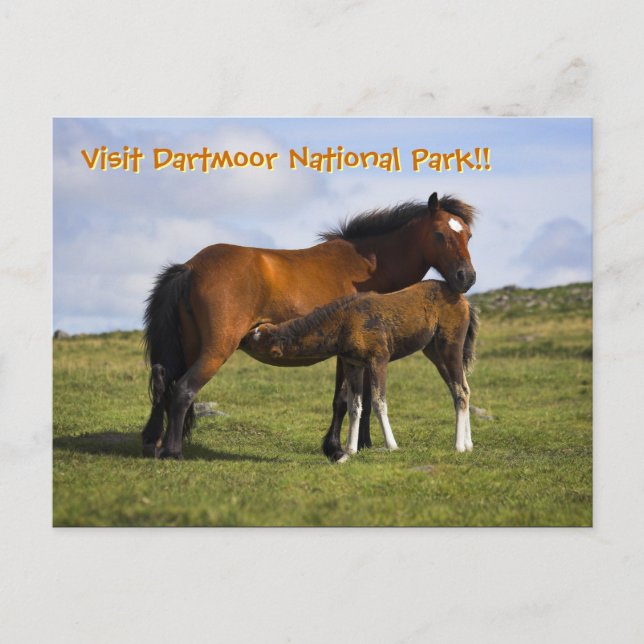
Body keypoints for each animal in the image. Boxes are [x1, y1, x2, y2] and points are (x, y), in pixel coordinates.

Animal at [241, 280, 479, 459]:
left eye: (254, 339)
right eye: (255, 332)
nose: (241, 337)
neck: (343, 324)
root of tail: (465, 302)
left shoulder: (379, 360)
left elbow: (378, 402)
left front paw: (391, 445)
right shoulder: (353, 364)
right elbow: (355, 405)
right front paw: (350, 449)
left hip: (450, 345)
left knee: (460, 390)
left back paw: (459, 446)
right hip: (433, 351)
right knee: (462, 389)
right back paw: (469, 444)